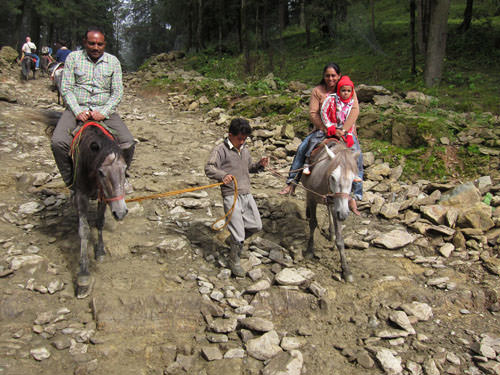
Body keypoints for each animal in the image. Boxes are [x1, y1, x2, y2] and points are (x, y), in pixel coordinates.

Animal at [71, 122, 129, 298]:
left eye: (125, 169)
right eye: (101, 172)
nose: (121, 212)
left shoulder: (103, 195)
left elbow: (100, 222)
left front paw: (101, 250)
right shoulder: (81, 194)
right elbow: (84, 230)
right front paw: (83, 275)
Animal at [300, 143, 360, 282]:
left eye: (353, 180)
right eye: (333, 177)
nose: (344, 214)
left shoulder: (337, 206)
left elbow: (340, 239)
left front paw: (346, 270)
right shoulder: (312, 198)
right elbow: (313, 224)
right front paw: (310, 250)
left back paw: (331, 232)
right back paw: (307, 213)